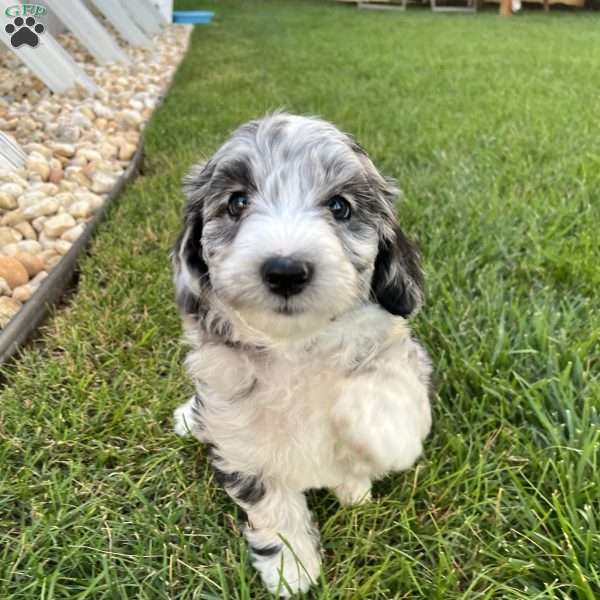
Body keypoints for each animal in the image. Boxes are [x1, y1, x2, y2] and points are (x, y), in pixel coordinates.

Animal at [172, 111, 432, 596]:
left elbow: (388, 384)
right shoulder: (240, 442)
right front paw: (291, 569)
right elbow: (272, 509)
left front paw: (379, 432)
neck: (294, 346)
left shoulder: (406, 355)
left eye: (340, 207)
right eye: (237, 202)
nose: (286, 270)